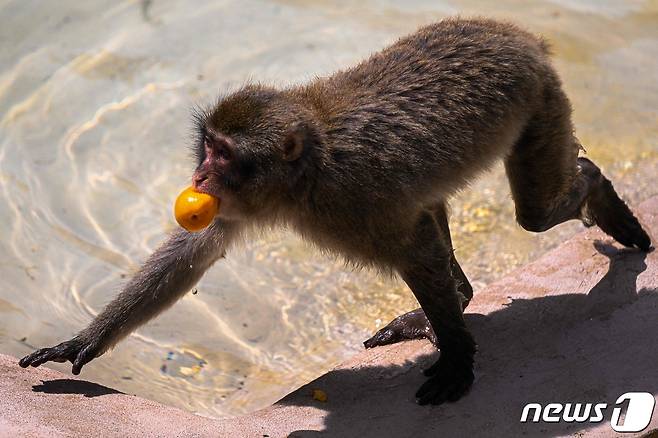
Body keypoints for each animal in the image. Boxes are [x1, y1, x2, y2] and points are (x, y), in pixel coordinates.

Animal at [19, 18, 644, 406]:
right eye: (208, 148)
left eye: (224, 155)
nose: (198, 178)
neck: (307, 174)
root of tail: (515, 34)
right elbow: (197, 248)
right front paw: (84, 341)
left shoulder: (354, 200)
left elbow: (415, 247)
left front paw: (459, 358)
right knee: (438, 208)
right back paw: (461, 297)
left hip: (542, 99)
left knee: (535, 212)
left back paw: (596, 188)